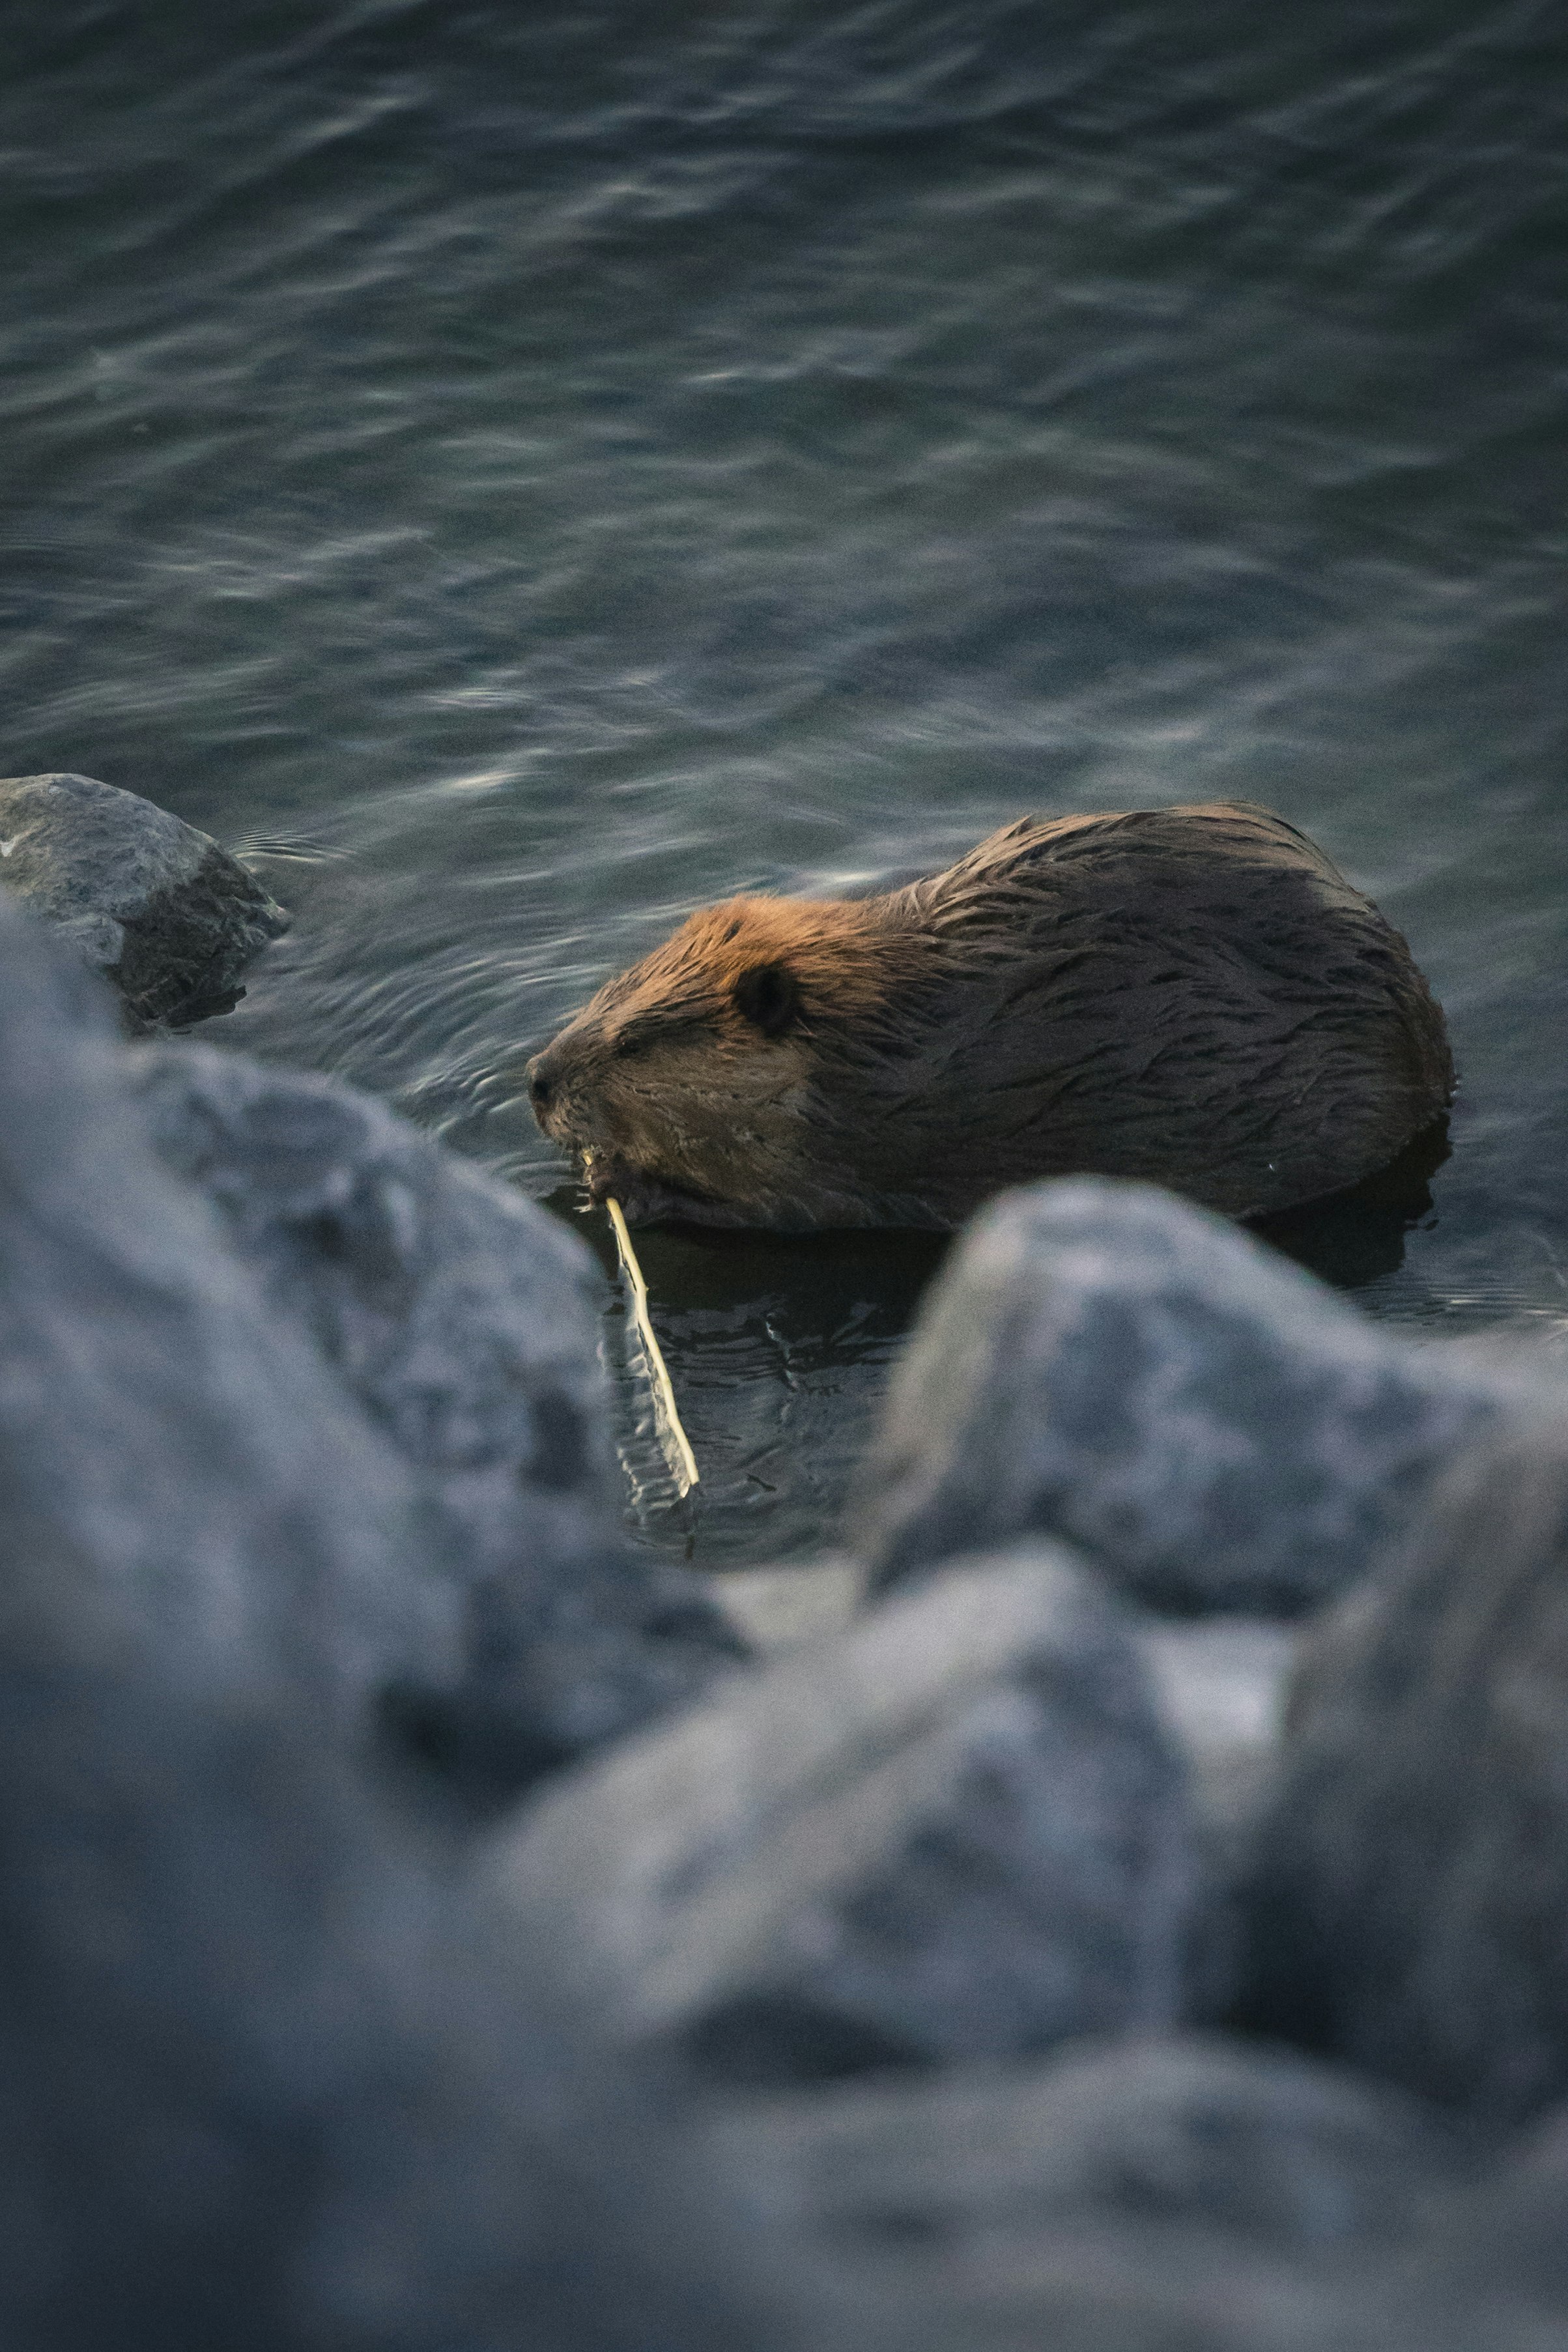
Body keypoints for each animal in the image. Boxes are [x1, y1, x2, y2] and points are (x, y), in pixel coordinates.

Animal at [526, 804, 1457, 1232]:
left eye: (636, 1040)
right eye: (608, 994)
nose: (536, 1079)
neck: (877, 1037)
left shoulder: (858, 1146)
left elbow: (783, 1213)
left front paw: (613, 1182)